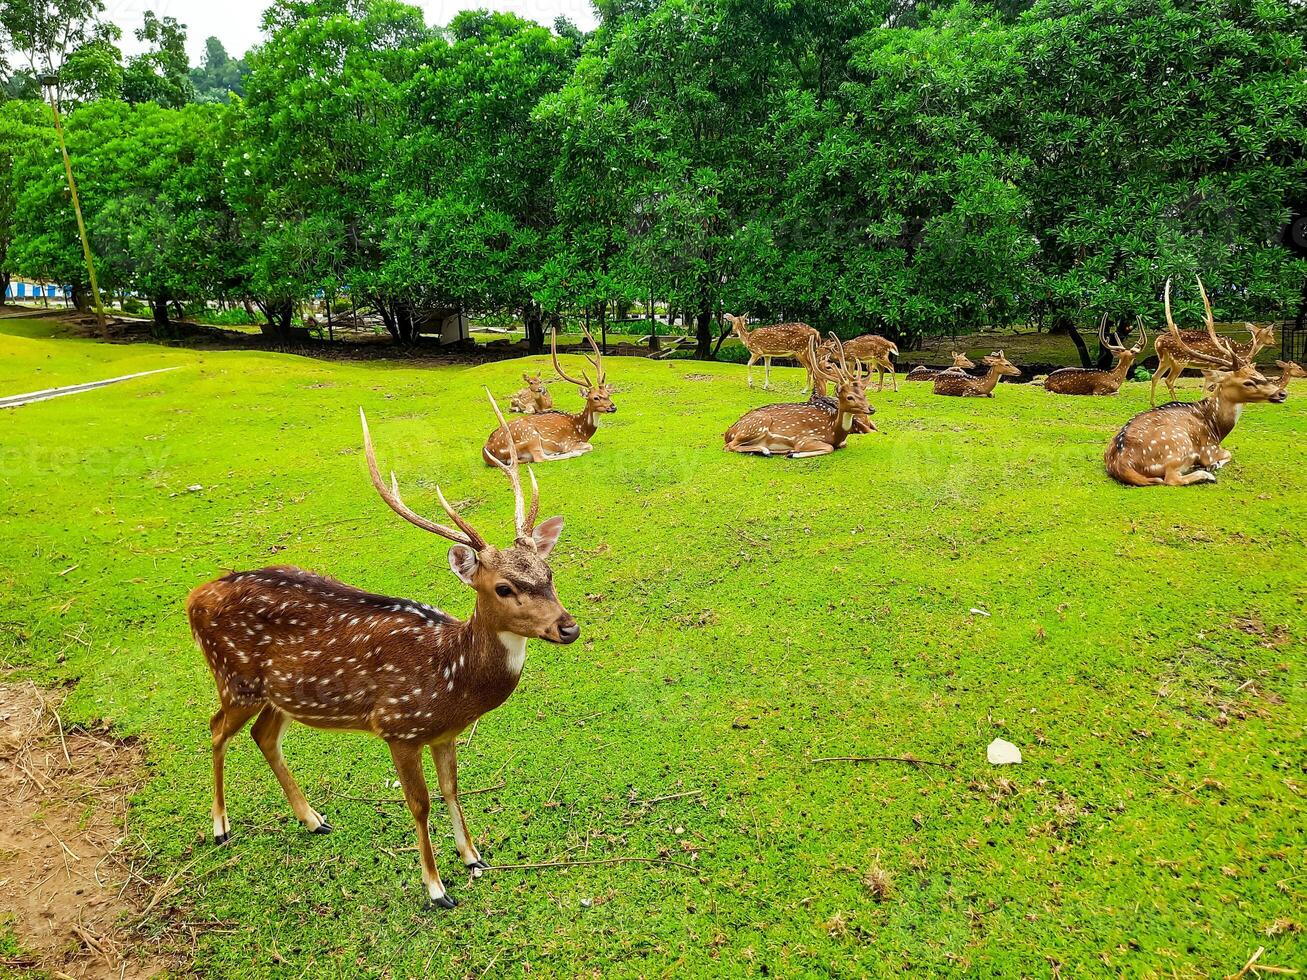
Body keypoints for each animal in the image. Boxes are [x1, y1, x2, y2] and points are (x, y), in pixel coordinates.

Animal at [185, 394, 577, 914]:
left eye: (548, 572)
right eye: (503, 587)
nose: (568, 627)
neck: (451, 679)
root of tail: (193, 599)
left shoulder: (444, 734)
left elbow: (452, 789)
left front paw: (472, 856)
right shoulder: (399, 727)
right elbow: (420, 803)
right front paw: (436, 888)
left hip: (279, 694)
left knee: (263, 736)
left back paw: (314, 819)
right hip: (234, 677)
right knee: (215, 729)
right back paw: (220, 827)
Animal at [486, 326, 616, 467]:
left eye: (608, 394)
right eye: (595, 397)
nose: (613, 407)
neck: (581, 430)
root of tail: (487, 452)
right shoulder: (568, 442)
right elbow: (589, 446)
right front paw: (574, 450)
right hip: (530, 435)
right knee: (540, 458)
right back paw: (569, 453)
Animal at [726, 337, 878, 459]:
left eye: (864, 394)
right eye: (850, 397)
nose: (871, 408)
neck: (834, 431)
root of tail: (729, 432)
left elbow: (841, 444)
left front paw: (790, 452)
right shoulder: (804, 439)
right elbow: (829, 447)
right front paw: (793, 453)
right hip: (756, 425)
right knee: (729, 446)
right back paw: (766, 451)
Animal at [1103, 278, 1286, 486]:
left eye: (1260, 374)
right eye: (1248, 382)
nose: (1282, 393)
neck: (1217, 427)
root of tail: (1122, 463)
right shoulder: (1209, 448)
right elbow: (1228, 454)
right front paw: (1213, 466)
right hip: (1178, 445)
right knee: (1171, 478)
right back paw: (1206, 474)